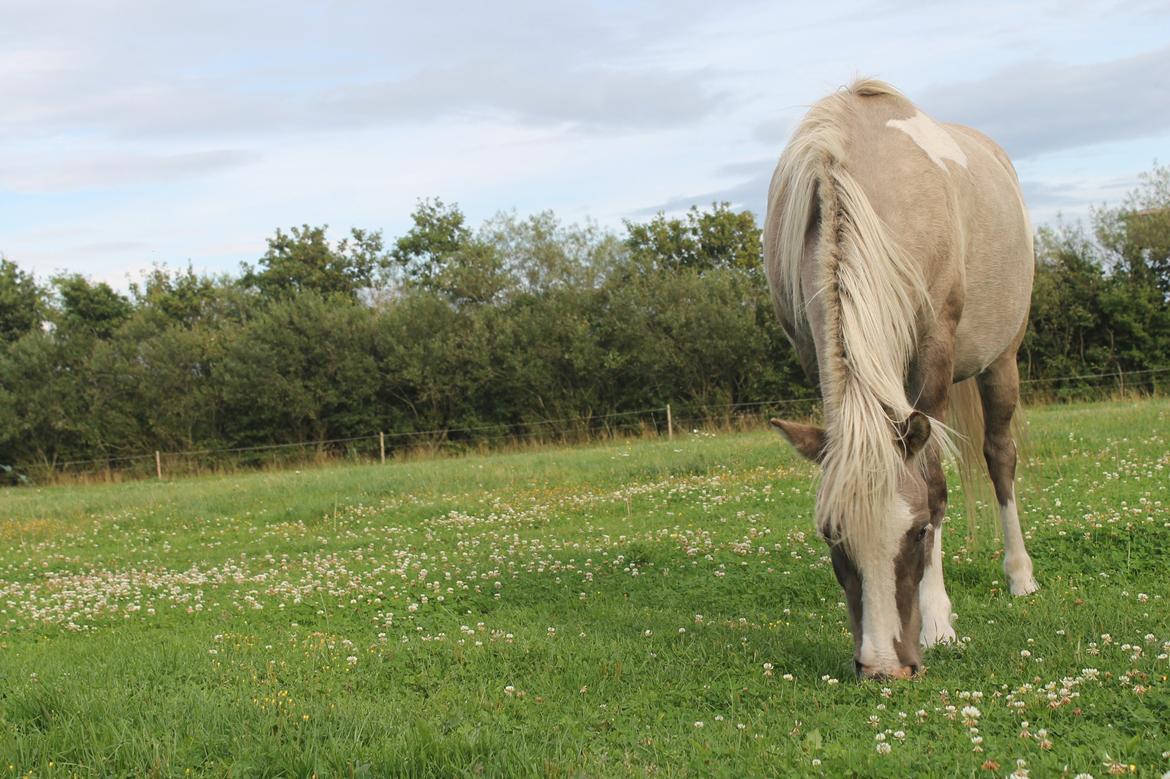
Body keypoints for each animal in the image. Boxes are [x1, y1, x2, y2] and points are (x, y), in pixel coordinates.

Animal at [762, 77, 1038, 673]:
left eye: (916, 534)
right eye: (831, 537)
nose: (885, 667)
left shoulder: (933, 354)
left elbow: (933, 486)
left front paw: (938, 624)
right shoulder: (812, 353)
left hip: (1001, 361)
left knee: (1000, 457)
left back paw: (1020, 576)